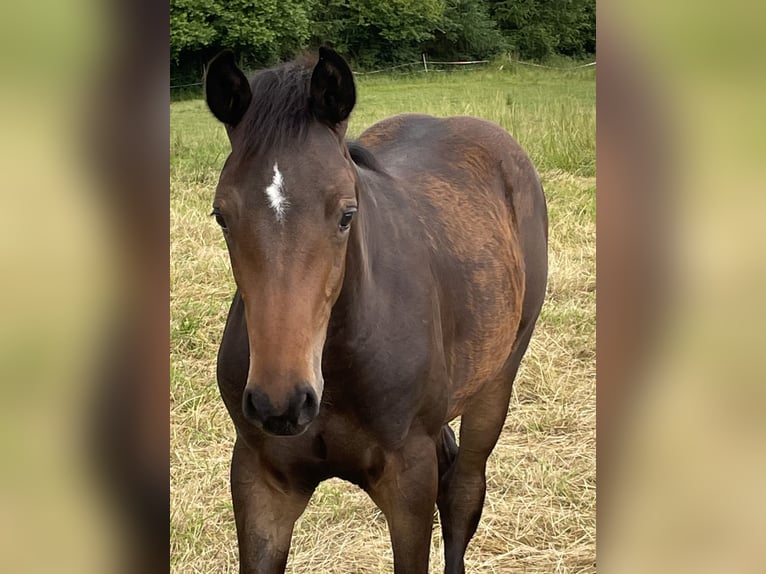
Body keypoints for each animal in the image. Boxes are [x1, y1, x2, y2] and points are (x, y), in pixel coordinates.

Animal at [204, 49, 548, 574]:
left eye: (347, 214)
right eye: (222, 215)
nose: (280, 403)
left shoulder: (408, 483)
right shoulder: (261, 483)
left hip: (496, 383)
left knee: (463, 492)